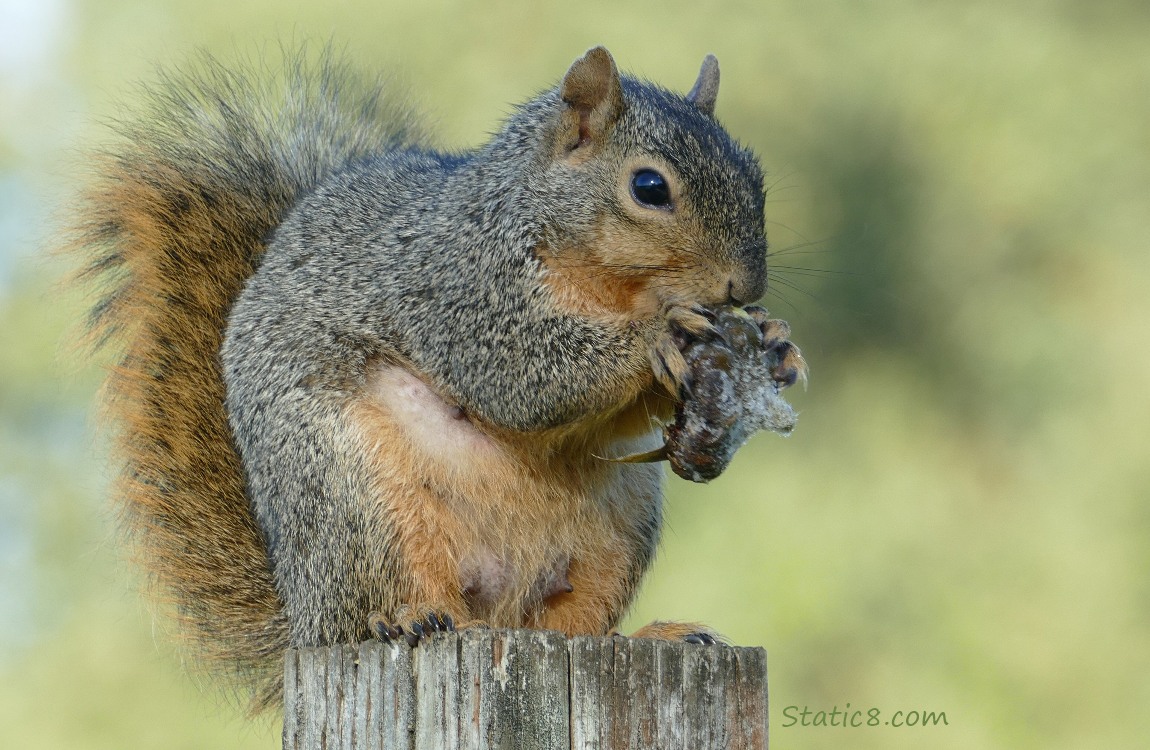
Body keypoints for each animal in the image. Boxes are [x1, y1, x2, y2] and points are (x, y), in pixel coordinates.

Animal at [69, 46, 809, 708]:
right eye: (649, 188)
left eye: (754, 174)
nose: (744, 286)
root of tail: (303, 617)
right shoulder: (457, 289)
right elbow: (525, 377)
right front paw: (661, 335)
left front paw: (775, 341)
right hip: (358, 495)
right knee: (380, 604)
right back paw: (404, 618)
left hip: (616, 531)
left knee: (574, 629)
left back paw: (652, 637)